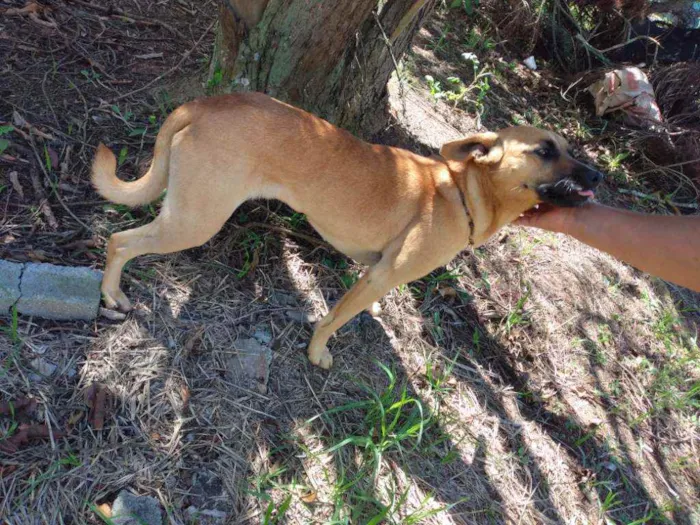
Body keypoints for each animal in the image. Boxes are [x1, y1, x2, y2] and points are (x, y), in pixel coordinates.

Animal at [93, 91, 600, 368]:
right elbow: (334, 319)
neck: (459, 190)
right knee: (119, 241)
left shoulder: (370, 273)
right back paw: (112, 295)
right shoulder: (383, 275)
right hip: (193, 221)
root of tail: (202, 104)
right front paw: (317, 353)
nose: (597, 177)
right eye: (545, 150)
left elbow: (346, 307)